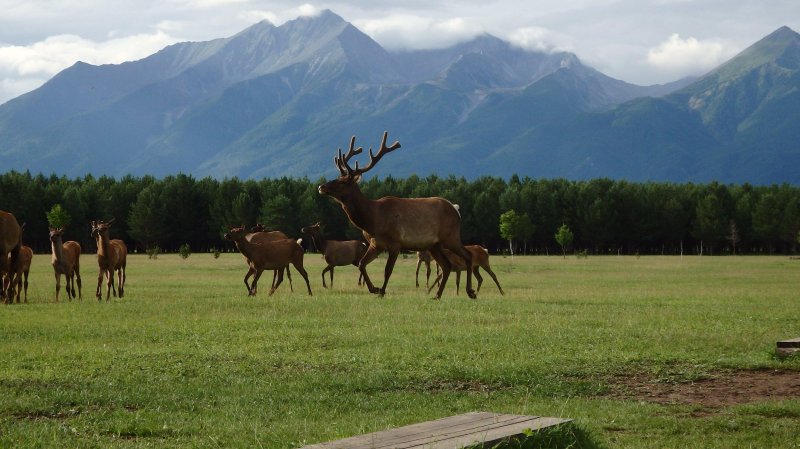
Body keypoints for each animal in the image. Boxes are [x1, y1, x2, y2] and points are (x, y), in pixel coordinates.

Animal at [316, 130, 476, 298]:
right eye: (338, 177)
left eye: (343, 182)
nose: (321, 187)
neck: (372, 219)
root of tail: (456, 210)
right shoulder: (375, 244)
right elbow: (361, 264)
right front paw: (374, 288)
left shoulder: (395, 243)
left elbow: (387, 271)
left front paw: (381, 291)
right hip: (435, 244)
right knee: (447, 265)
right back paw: (437, 295)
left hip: (451, 236)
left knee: (467, 255)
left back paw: (470, 291)